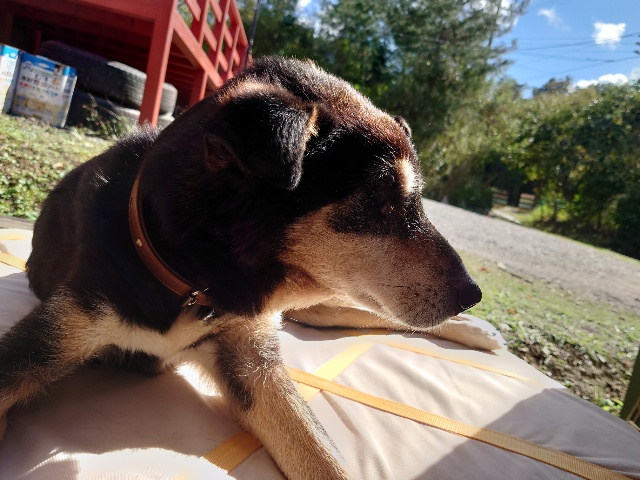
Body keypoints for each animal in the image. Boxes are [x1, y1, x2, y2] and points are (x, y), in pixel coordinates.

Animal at [0, 57, 486, 479]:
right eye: (381, 202)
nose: (473, 294)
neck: (193, 281)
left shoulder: (251, 355)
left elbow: (323, 457)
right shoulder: (59, 332)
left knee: (362, 314)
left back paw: (478, 331)